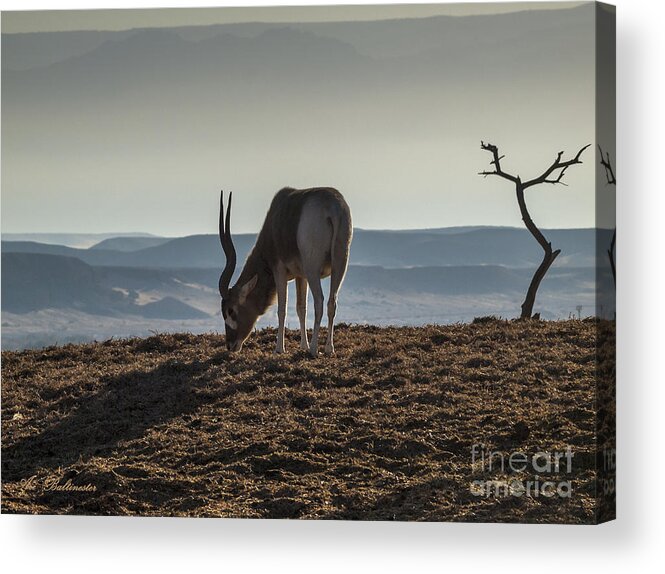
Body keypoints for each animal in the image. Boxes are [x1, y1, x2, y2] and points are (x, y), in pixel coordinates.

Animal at [218, 189, 352, 358]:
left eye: (231, 310)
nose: (230, 345)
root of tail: (332, 207)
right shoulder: (301, 276)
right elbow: (301, 308)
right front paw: (303, 345)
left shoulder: (279, 270)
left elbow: (282, 309)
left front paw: (279, 348)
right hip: (339, 265)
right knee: (331, 302)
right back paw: (329, 349)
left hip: (313, 269)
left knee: (319, 301)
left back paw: (314, 349)